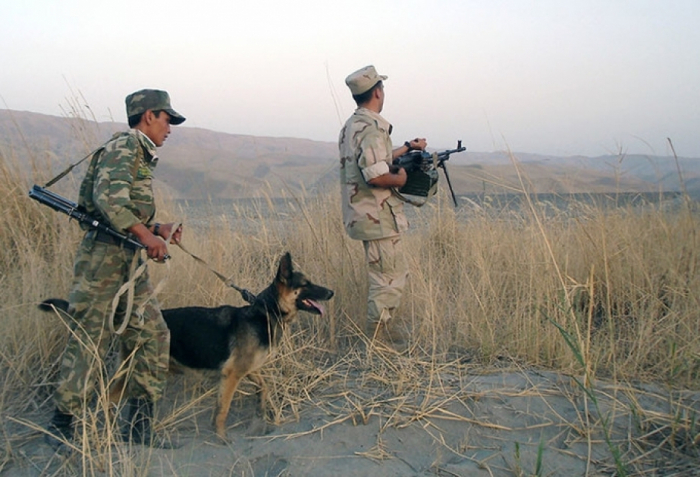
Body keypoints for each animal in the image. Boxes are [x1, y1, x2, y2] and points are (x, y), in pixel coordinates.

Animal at [39, 251, 334, 436]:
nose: (331, 292)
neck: (265, 311)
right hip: (134, 371)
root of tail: (129, 321)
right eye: (307, 284)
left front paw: (261, 408)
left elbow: (264, 385)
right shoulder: (232, 374)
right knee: (104, 398)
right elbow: (222, 410)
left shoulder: (247, 369)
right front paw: (221, 438)